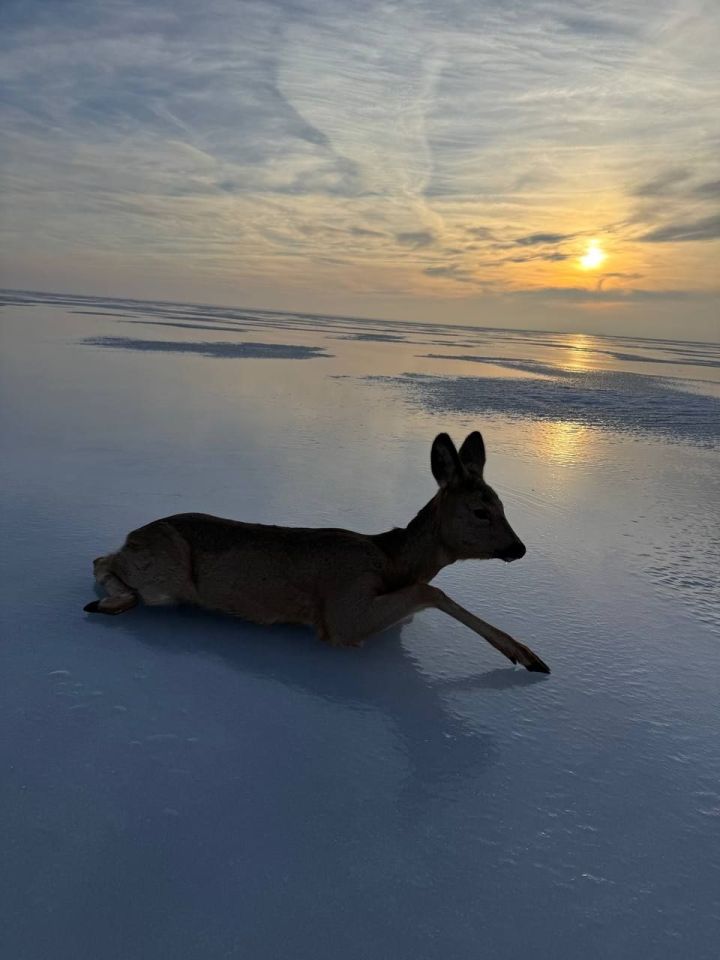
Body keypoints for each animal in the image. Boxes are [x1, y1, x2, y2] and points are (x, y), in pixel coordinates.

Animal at [81, 432, 548, 672]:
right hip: (166, 577)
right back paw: (111, 602)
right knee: (102, 561)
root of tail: (134, 534)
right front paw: (525, 655)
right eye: (480, 510)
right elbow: (431, 592)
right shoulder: (343, 611)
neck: (392, 559)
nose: (519, 547)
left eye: (502, 504)